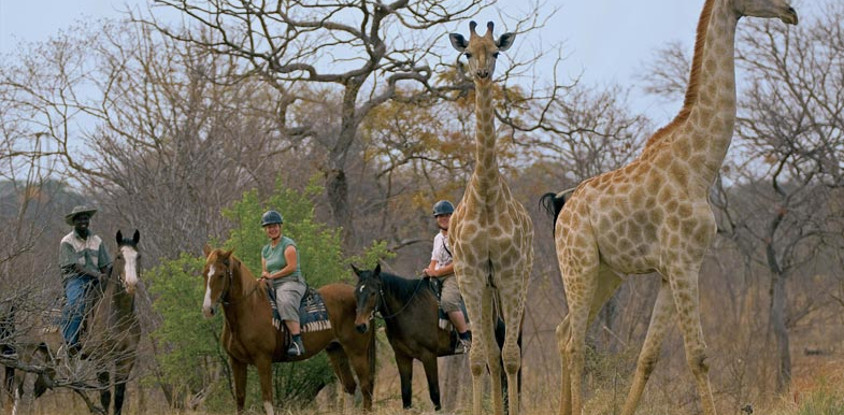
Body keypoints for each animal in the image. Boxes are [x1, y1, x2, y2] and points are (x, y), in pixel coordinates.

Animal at [201, 246, 375, 415]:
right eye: (204, 274)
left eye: (221, 275)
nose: (207, 309)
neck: (250, 308)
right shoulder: (236, 361)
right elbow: (240, 399)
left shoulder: (263, 360)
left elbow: (267, 400)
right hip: (336, 350)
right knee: (350, 386)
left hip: (357, 352)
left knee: (365, 387)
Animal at [352, 264, 521, 412]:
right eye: (356, 293)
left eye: (373, 292)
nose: (360, 325)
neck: (408, 310)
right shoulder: (402, 357)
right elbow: (406, 395)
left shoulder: (429, 356)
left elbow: (435, 394)